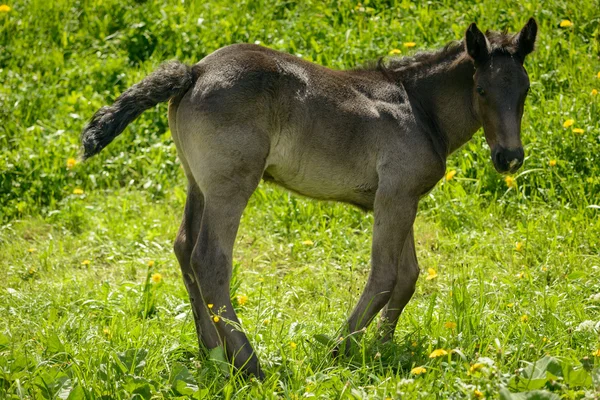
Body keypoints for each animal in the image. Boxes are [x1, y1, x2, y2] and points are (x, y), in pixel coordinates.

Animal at [81, 18, 540, 376]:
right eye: (481, 90)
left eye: (525, 90)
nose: (509, 158)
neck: (417, 108)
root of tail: (195, 70)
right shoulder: (395, 197)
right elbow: (386, 275)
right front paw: (340, 350)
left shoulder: (403, 197)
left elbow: (408, 276)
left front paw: (383, 349)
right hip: (232, 184)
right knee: (209, 259)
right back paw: (250, 365)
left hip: (198, 183)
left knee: (183, 247)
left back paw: (214, 352)